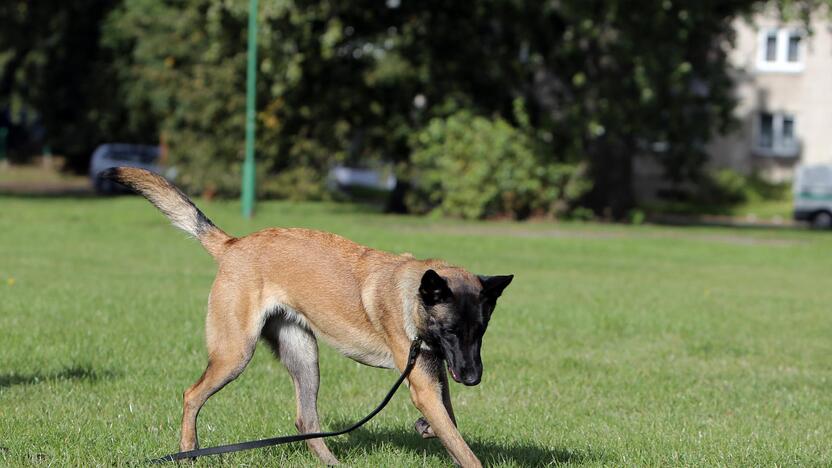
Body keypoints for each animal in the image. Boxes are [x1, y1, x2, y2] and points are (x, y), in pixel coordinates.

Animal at [104, 169, 512, 468]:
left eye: (480, 332)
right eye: (449, 330)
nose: (472, 378)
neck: (411, 295)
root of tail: (233, 245)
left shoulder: (434, 370)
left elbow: (449, 421)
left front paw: (429, 428)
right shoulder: (425, 382)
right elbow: (461, 445)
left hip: (303, 356)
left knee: (306, 419)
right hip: (235, 354)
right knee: (192, 394)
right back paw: (189, 450)